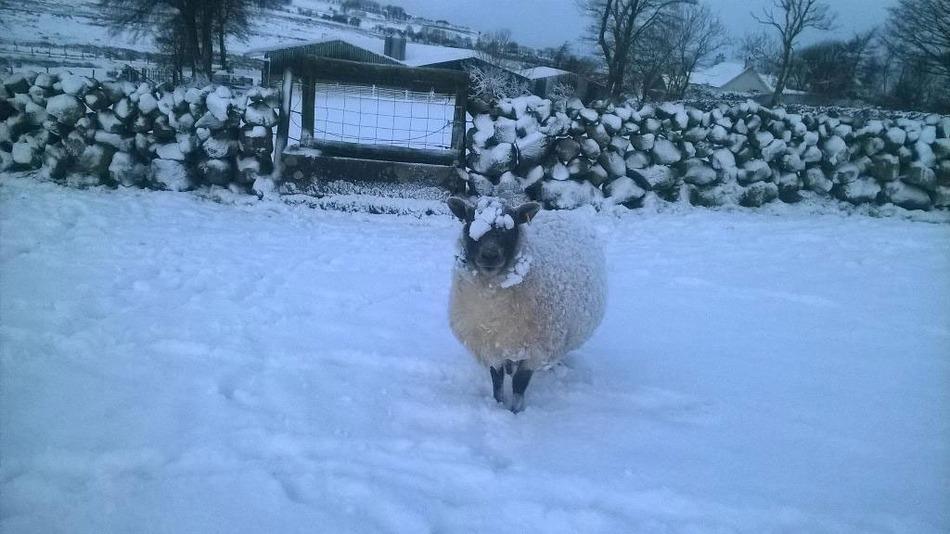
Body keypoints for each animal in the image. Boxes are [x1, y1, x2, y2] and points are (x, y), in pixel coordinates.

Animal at [447, 196, 607, 413]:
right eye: (470, 220)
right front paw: (498, 405)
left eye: (510, 227)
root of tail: (561, 212)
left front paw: (515, 412)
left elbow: (519, 384)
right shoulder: (490, 347)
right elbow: (497, 381)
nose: (490, 255)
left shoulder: (535, 350)